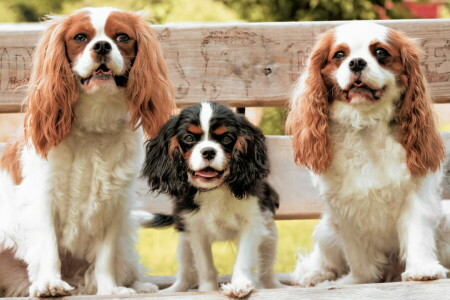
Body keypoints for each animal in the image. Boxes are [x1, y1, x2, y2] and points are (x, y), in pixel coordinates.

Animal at [0, 6, 175, 298]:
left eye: (122, 37)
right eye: (80, 37)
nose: (102, 45)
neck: (95, 119)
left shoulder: (114, 203)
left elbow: (105, 257)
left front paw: (110, 289)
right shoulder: (42, 195)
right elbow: (48, 246)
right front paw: (49, 283)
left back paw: (139, 285)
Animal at [141, 101, 282, 298]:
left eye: (227, 138)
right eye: (189, 138)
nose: (208, 151)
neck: (214, 190)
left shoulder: (252, 223)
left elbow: (244, 259)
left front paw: (239, 285)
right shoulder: (194, 229)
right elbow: (204, 266)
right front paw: (207, 290)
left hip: (269, 238)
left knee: (266, 273)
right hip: (184, 244)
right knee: (187, 275)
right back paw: (172, 290)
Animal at [286, 21, 448, 286]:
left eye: (380, 52)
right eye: (339, 55)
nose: (356, 62)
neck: (366, 122)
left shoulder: (417, 195)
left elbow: (417, 234)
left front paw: (422, 270)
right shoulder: (345, 211)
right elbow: (359, 257)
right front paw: (358, 281)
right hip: (327, 230)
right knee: (325, 260)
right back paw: (317, 275)